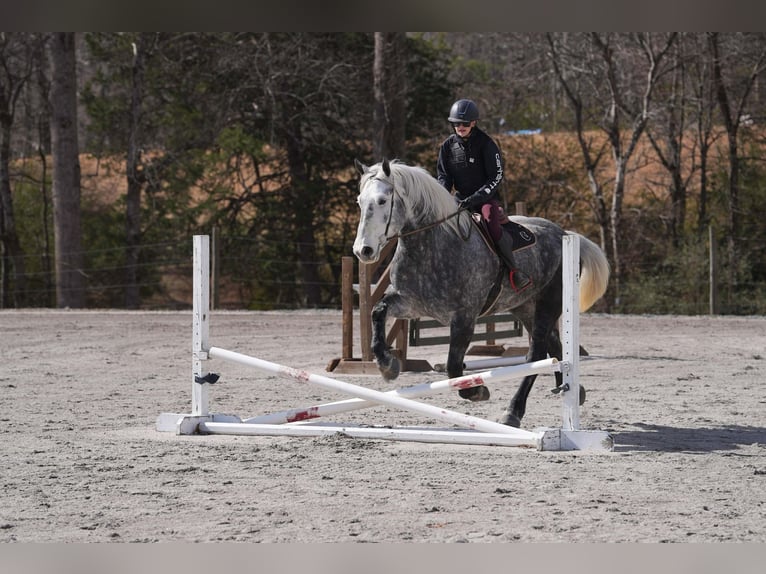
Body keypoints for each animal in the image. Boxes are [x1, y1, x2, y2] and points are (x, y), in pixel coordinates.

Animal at [352, 158, 610, 428]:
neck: (432, 246)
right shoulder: (409, 303)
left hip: (548, 304)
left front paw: (476, 391)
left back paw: (514, 411)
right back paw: (572, 390)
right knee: (554, 346)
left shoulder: (464, 316)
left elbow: (453, 366)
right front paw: (387, 364)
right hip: (526, 307)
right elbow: (378, 311)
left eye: (382, 200)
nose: (363, 251)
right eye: (360, 201)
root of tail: (565, 234)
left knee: (536, 353)